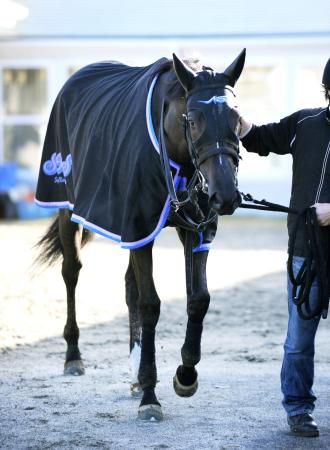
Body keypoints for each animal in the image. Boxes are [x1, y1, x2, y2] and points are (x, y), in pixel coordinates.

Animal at [34, 50, 246, 422]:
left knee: (129, 286)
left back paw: (133, 373)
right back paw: (73, 356)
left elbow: (198, 299)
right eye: (193, 120)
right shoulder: (138, 225)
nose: (226, 195)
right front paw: (150, 395)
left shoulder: (194, 230)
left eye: (237, 118)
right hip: (66, 208)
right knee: (71, 272)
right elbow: (151, 305)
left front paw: (185, 374)